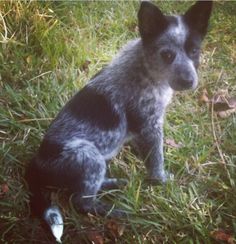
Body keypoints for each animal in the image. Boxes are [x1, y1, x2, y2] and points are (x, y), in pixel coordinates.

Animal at [25, 0, 212, 242]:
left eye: (194, 51)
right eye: (167, 55)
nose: (189, 82)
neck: (146, 69)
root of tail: (36, 163)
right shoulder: (150, 125)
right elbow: (156, 159)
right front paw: (161, 180)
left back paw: (112, 183)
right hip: (89, 156)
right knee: (81, 202)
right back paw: (113, 210)